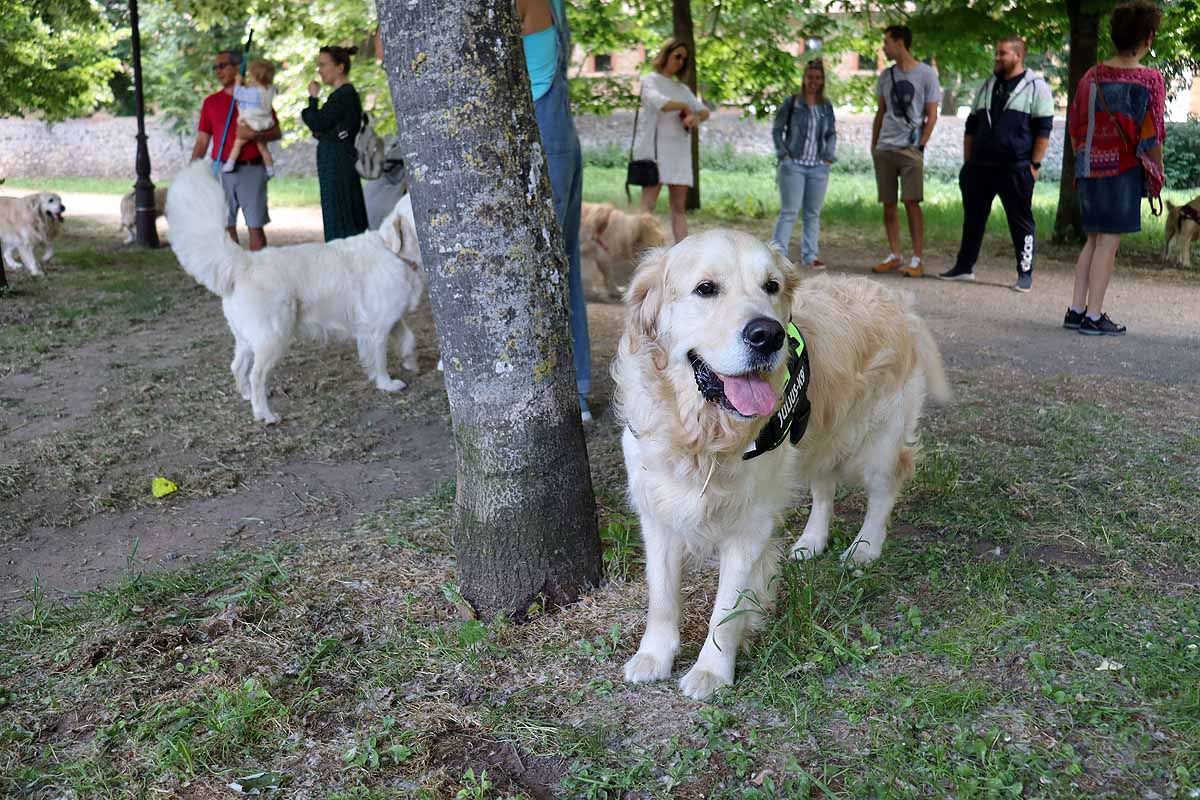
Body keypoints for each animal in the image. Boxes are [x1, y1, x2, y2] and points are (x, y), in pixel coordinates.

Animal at [164, 163, 427, 424]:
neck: (396, 254)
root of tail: (245, 262)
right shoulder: (376, 327)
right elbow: (380, 359)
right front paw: (387, 384)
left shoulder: (392, 317)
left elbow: (409, 338)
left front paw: (410, 362)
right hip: (273, 338)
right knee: (256, 376)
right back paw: (264, 414)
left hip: (247, 339)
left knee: (237, 367)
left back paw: (247, 396)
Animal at [614, 227, 950, 695]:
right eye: (705, 288)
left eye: (770, 286)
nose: (768, 334)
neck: (704, 435)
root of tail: (897, 297)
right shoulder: (656, 508)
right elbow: (661, 594)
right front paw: (654, 655)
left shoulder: (750, 525)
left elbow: (727, 608)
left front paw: (711, 670)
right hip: (815, 437)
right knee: (824, 488)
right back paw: (811, 541)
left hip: (880, 439)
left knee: (885, 488)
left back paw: (864, 547)